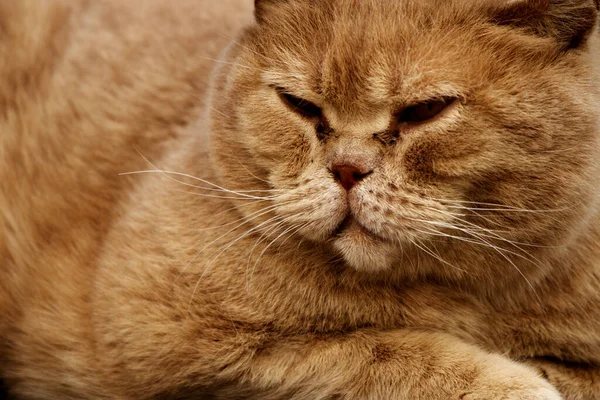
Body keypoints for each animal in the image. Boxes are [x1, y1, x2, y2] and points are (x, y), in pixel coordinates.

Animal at [1, 0, 600, 398]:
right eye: (299, 105)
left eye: (425, 111)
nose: (347, 170)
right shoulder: (158, 328)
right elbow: (379, 348)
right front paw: (511, 383)